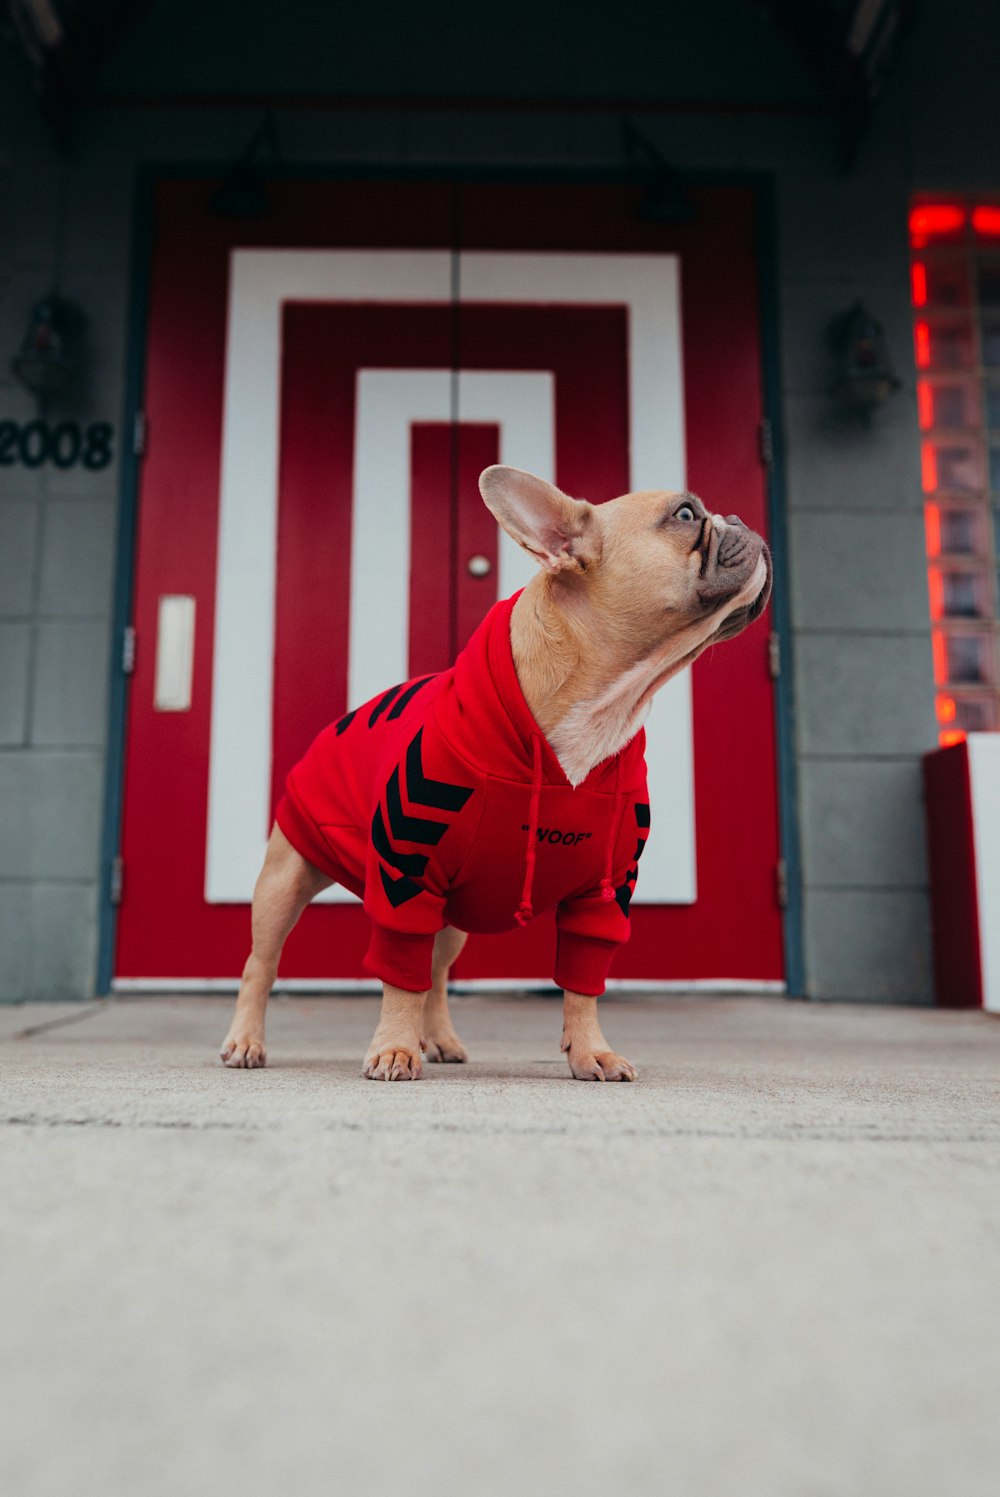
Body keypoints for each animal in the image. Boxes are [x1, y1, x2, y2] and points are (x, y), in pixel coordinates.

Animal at [223, 464, 772, 1077]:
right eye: (684, 515)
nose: (740, 518)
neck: (600, 707)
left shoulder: (604, 893)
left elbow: (583, 980)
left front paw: (591, 1051)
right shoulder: (406, 873)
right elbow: (398, 975)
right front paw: (393, 1047)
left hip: (453, 920)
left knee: (436, 973)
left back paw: (437, 1039)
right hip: (285, 880)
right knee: (263, 964)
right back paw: (247, 1041)